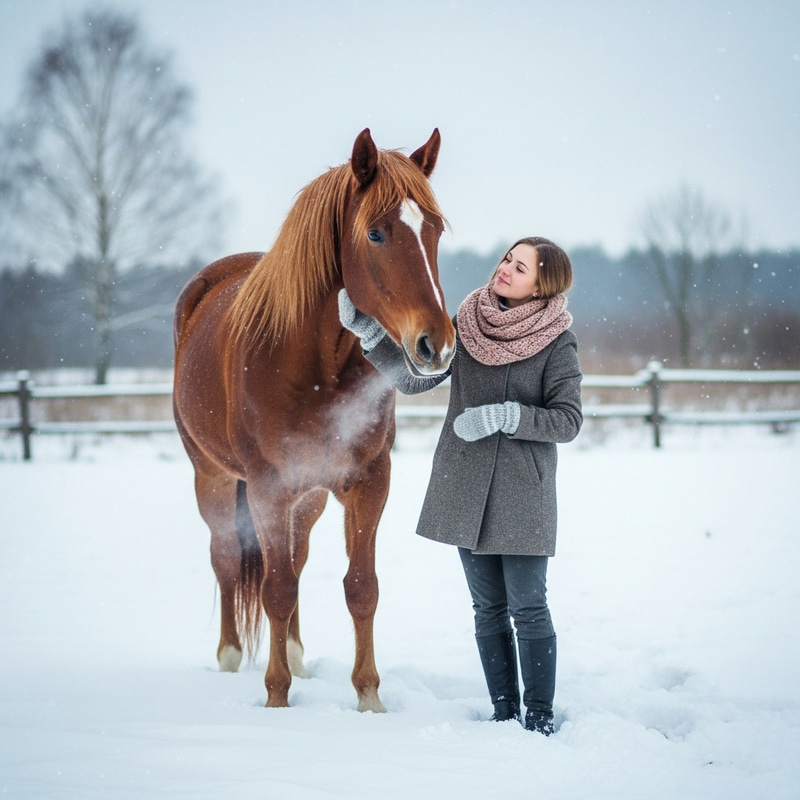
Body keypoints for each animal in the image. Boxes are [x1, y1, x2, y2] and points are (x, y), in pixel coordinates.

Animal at [172, 128, 455, 712]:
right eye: (375, 232)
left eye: (435, 229)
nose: (435, 345)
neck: (314, 364)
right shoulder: (267, 487)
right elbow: (274, 589)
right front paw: (277, 700)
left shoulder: (368, 482)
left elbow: (361, 587)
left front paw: (369, 697)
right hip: (213, 478)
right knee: (228, 559)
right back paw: (230, 660)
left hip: (309, 498)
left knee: (295, 560)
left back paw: (299, 659)